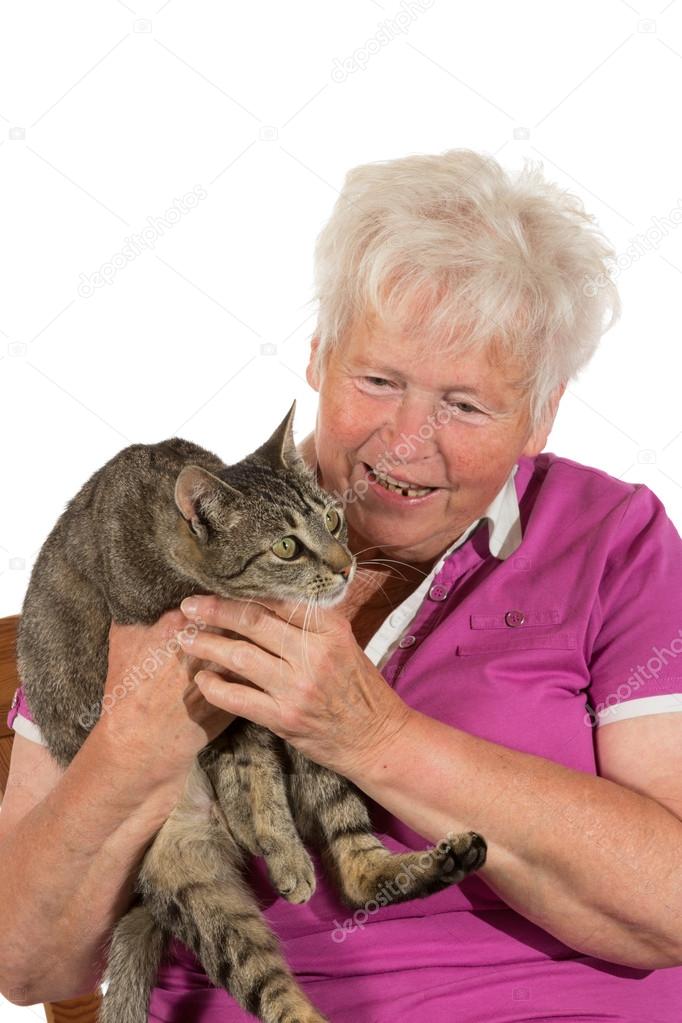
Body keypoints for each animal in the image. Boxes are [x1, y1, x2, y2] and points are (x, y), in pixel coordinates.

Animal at [18, 398, 488, 1023]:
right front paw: (276, 846)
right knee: (266, 986)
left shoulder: (258, 701)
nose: (345, 566)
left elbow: (256, 771)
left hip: (319, 744)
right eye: (286, 546)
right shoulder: (212, 696)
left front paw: (276, 843)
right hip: (199, 893)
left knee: (357, 872)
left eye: (332, 520)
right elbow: (247, 772)